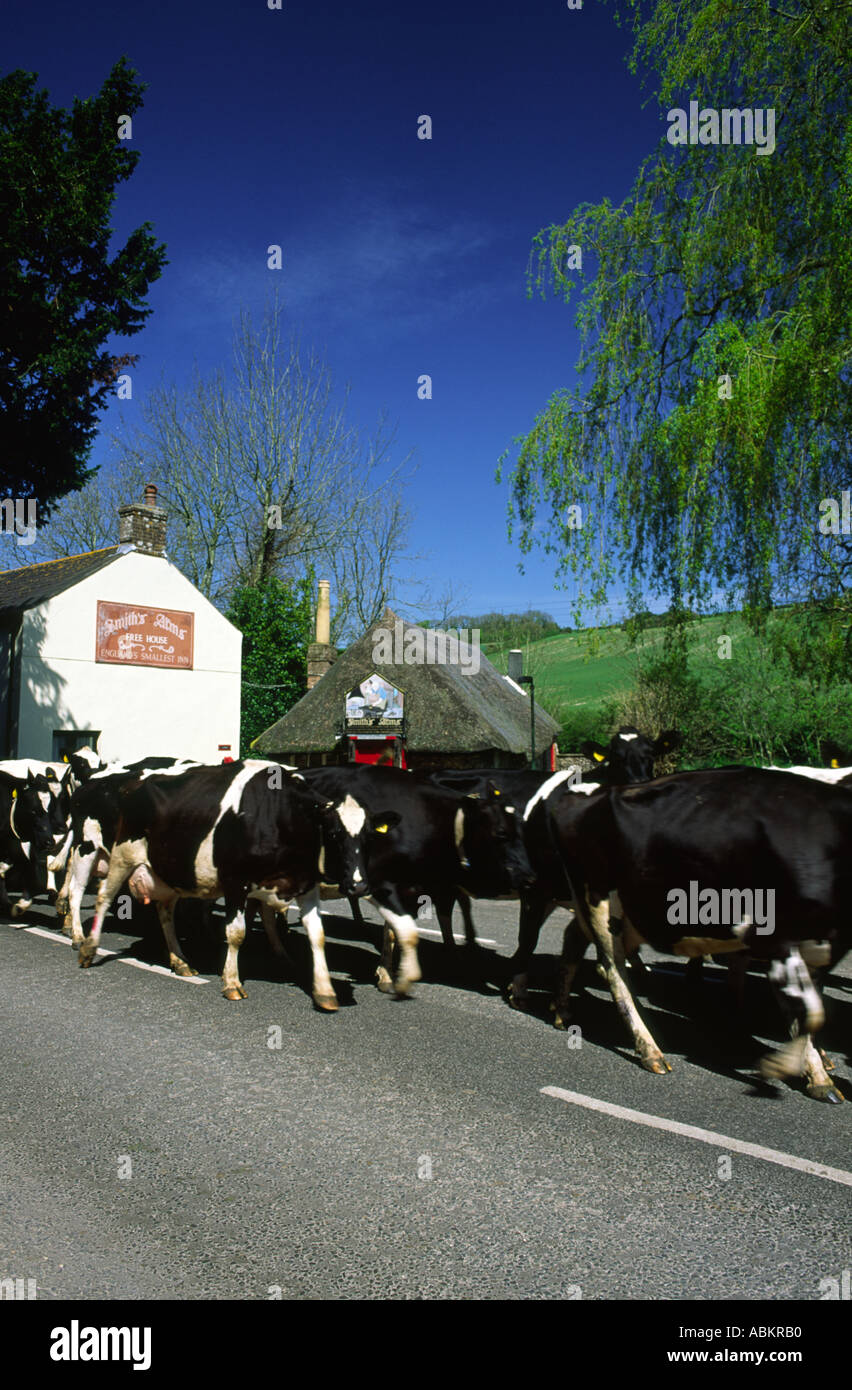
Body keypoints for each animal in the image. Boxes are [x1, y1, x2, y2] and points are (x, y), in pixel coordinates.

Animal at [76, 761, 389, 1011]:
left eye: (369, 837)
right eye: (334, 834)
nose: (359, 886)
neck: (280, 815)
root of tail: (136, 780)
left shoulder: (305, 885)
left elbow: (317, 935)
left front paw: (324, 991)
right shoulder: (235, 882)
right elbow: (237, 933)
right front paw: (232, 983)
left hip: (168, 872)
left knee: (165, 912)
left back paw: (180, 961)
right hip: (121, 856)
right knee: (103, 897)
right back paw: (88, 949)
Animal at [544, 767, 850, 1100]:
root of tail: (584, 794)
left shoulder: (819, 948)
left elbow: (809, 1012)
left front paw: (816, 1072)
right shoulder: (771, 935)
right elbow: (810, 1013)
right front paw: (789, 1067)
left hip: (613, 908)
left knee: (574, 940)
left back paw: (562, 1011)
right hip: (598, 899)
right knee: (612, 970)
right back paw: (649, 1049)